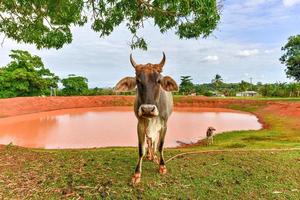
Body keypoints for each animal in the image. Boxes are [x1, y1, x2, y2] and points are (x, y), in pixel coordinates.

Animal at [113, 52, 177, 184]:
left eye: (158, 81)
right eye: (138, 81)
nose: (147, 109)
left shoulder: (164, 125)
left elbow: (160, 145)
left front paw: (162, 166)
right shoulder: (140, 125)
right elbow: (141, 148)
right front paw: (137, 174)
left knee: (154, 142)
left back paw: (154, 157)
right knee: (149, 141)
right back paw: (149, 155)